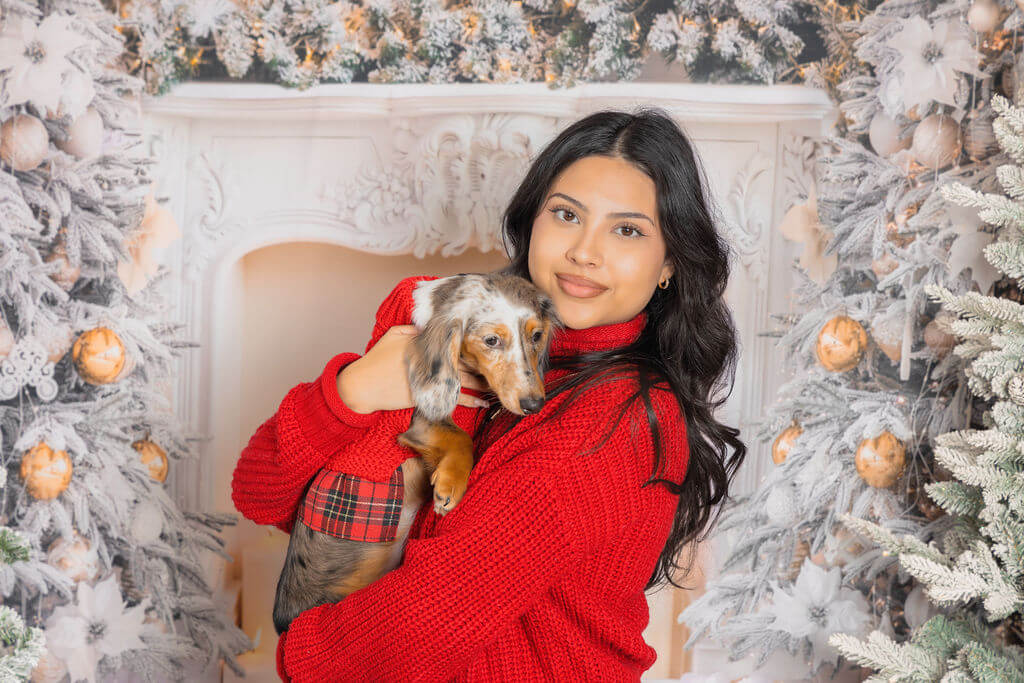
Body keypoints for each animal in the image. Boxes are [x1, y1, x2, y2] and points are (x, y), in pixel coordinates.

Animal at [272, 272, 560, 635]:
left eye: (536, 335)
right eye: (491, 340)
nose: (534, 405)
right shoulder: (419, 421)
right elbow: (461, 439)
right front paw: (450, 486)